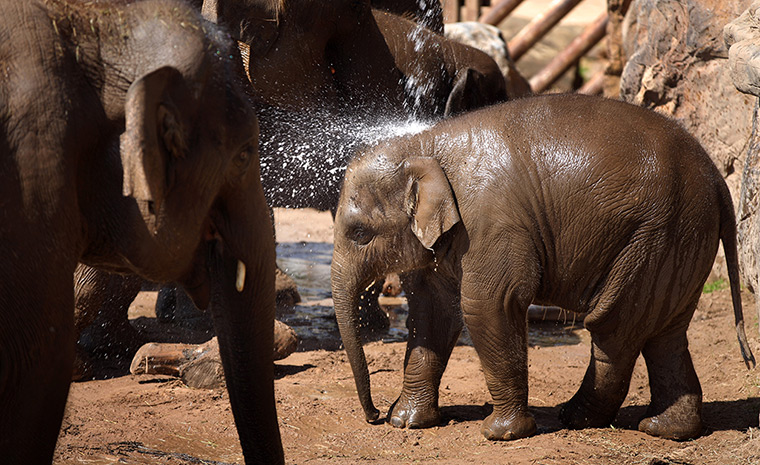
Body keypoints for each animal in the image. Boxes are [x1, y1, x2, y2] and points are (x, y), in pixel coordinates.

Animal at [331, 93, 756, 443]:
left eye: (359, 233)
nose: (374, 416)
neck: (424, 144)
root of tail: (717, 178)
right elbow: (431, 312)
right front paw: (407, 423)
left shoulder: (489, 224)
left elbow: (488, 306)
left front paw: (501, 434)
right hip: (681, 239)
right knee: (663, 333)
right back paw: (665, 430)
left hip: (659, 234)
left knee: (613, 328)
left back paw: (576, 419)